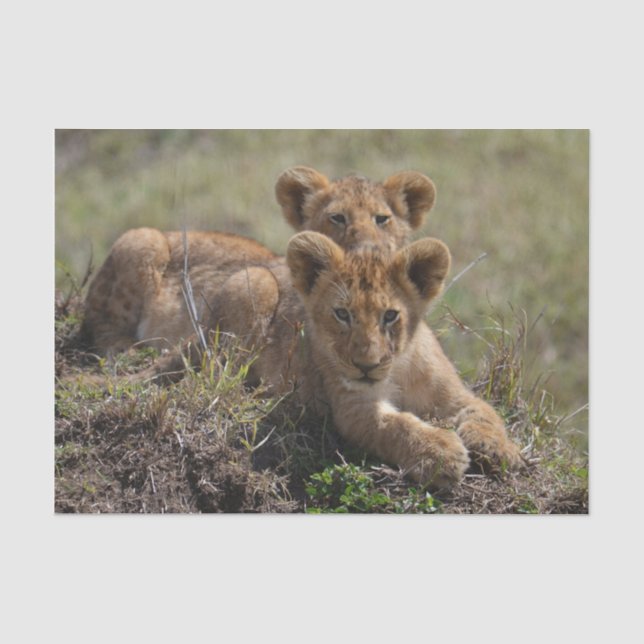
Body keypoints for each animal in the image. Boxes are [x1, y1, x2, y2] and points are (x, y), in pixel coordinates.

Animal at [129, 232, 523, 488]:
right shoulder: (353, 409)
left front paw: (500, 449)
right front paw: (441, 453)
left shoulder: (454, 395)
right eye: (342, 314)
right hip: (254, 284)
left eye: (390, 316)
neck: (396, 370)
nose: (366, 365)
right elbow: (396, 426)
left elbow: (486, 413)